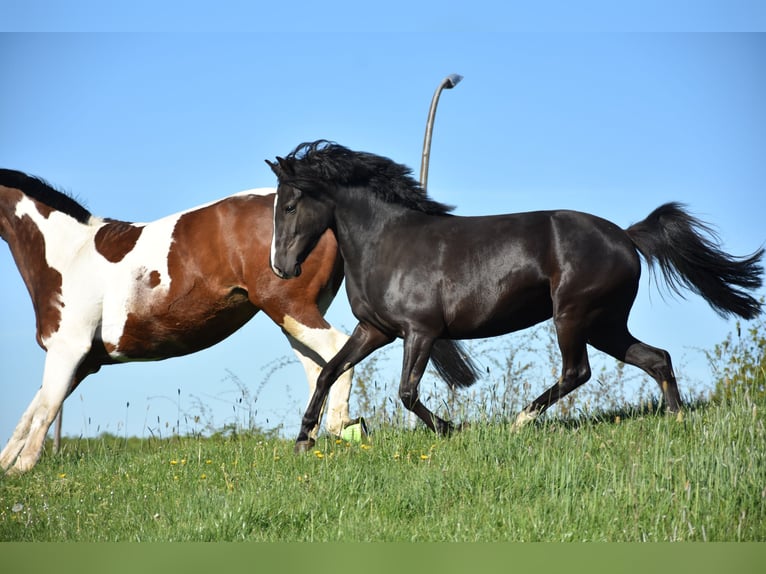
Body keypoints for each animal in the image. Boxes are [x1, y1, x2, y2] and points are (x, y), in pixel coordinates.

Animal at [0, 168, 359, 475]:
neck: (69, 255)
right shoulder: (84, 361)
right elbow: (30, 414)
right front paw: (7, 466)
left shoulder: (68, 350)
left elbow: (45, 410)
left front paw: (22, 468)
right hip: (293, 318)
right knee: (318, 369)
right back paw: (309, 439)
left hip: (290, 308)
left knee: (338, 350)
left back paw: (340, 426)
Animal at [266, 140, 764, 453]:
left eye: (289, 205)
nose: (281, 268)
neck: (387, 242)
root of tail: (626, 236)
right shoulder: (375, 330)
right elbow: (329, 371)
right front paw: (304, 439)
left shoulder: (420, 332)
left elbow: (407, 392)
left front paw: (451, 429)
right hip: (605, 324)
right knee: (656, 358)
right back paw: (676, 422)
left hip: (573, 316)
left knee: (578, 371)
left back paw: (521, 422)